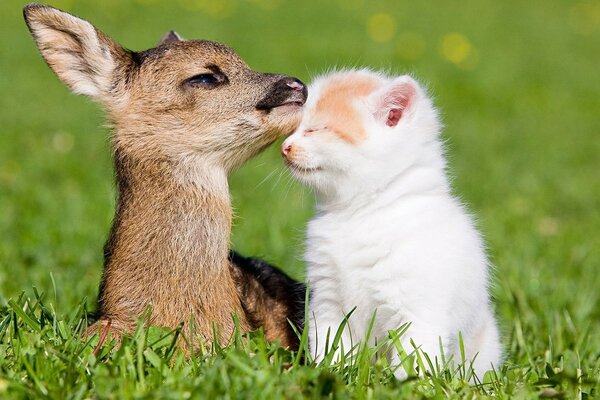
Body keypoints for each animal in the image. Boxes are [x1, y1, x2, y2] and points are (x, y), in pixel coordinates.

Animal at [282, 69, 502, 378]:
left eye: (316, 129)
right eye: (292, 128)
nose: (285, 146)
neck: (359, 213)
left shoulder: (417, 311)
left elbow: (415, 360)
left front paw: (408, 384)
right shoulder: (327, 301)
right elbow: (332, 346)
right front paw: (332, 374)